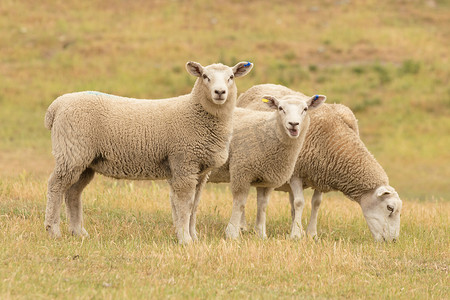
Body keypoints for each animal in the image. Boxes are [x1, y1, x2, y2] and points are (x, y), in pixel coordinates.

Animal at [44, 60, 255, 244]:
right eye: (205, 76)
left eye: (230, 77)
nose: (220, 92)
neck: (196, 113)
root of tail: (55, 106)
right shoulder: (184, 162)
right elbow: (185, 204)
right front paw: (185, 239)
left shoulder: (201, 171)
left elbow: (194, 205)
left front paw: (194, 237)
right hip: (71, 152)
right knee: (55, 186)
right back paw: (53, 230)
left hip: (85, 160)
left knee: (73, 193)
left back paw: (79, 232)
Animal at [209, 94, 326, 239]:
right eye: (280, 108)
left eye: (305, 109)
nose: (293, 124)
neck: (268, 130)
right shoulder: (241, 171)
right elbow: (239, 204)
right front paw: (232, 234)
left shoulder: (266, 178)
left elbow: (263, 205)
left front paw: (261, 234)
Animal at [237, 84, 402, 241]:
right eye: (390, 208)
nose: (393, 241)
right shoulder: (296, 174)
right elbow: (299, 202)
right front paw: (296, 235)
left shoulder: (321, 174)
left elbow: (316, 203)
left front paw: (311, 234)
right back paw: (242, 227)